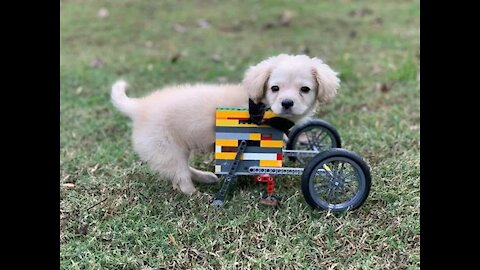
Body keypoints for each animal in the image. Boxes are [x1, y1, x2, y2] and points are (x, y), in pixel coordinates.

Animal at [110, 53, 340, 195]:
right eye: (274, 88)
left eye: (305, 89)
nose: (287, 103)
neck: (262, 107)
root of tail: (139, 106)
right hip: (167, 149)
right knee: (180, 176)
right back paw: (195, 193)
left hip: (178, 149)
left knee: (182, 169)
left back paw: (206, 177)